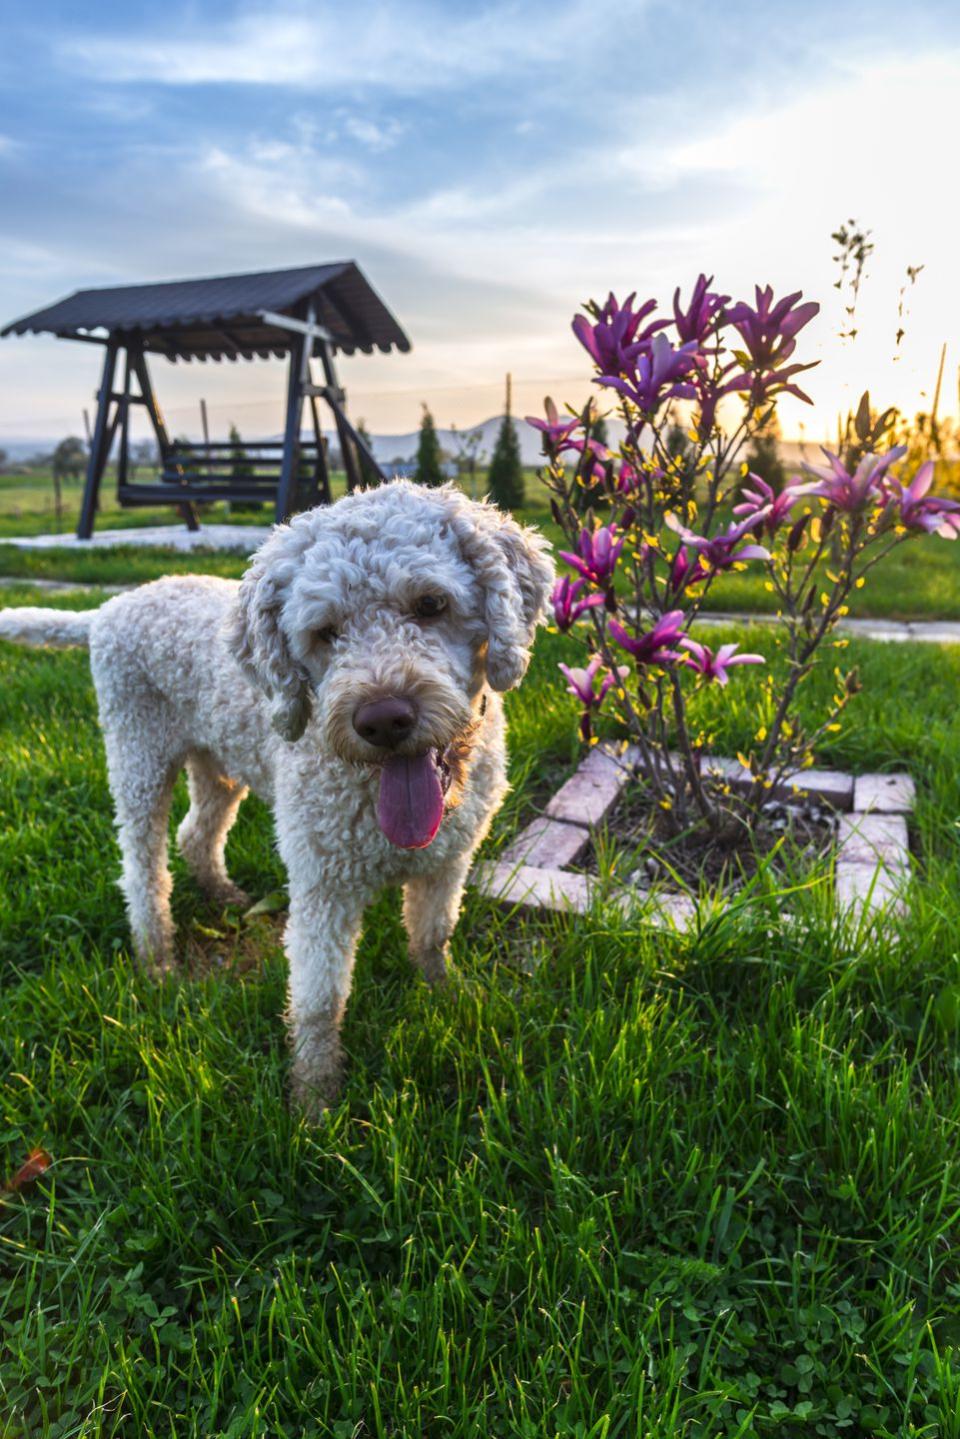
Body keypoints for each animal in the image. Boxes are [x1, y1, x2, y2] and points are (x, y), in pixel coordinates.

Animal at [0, 483, 555, 1110]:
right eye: (324, 631)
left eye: (432, 604)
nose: (383, 720)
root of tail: (109, 609)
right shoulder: (322, 887)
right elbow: (319, 999)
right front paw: (315, 1100)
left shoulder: (448, 861)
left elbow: (433, 934)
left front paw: (448, 994)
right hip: (138, 757)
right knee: (143, 869)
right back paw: (157, 957)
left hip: (219, 764)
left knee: (197, 833)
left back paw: (223, 895)